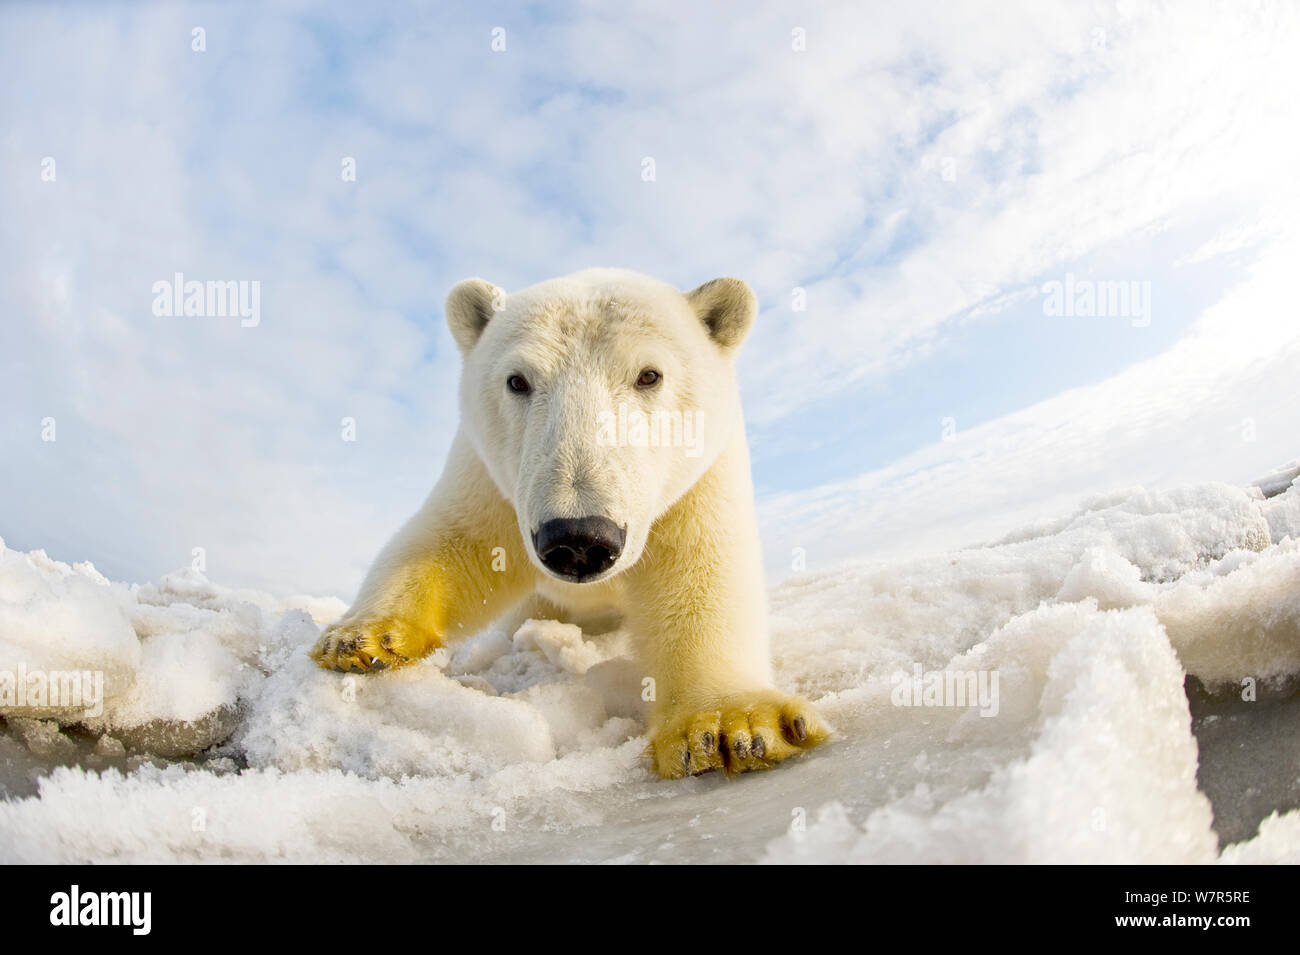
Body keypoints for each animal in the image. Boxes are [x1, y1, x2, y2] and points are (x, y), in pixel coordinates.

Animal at [309, 268, 826, 779]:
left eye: (649, 375)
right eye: (517, 381)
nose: (579, 539)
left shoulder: (697, 479)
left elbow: (697, 571)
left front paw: (732, 726)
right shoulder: (494, 479)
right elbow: (455, 541)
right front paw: (360, 639)